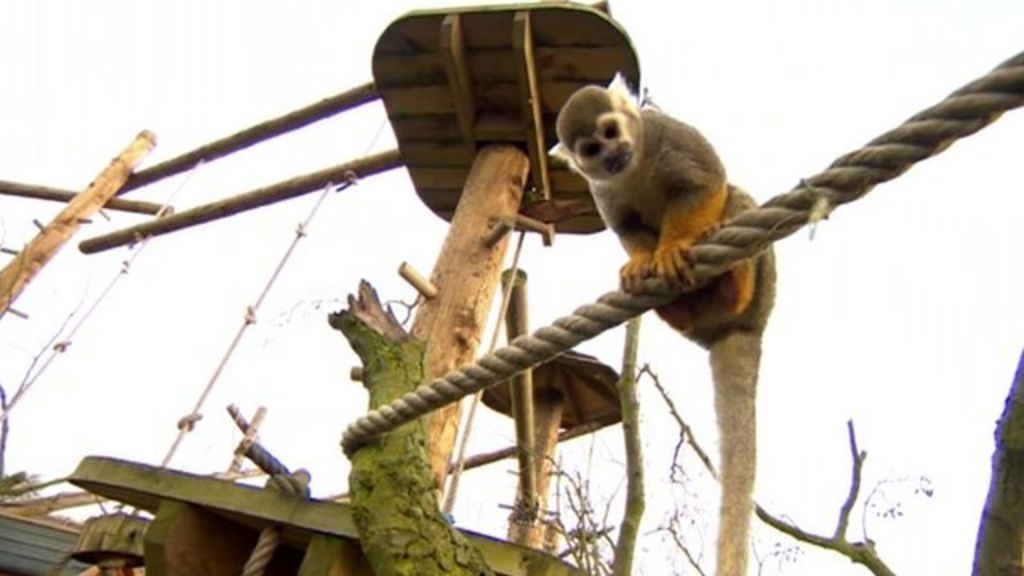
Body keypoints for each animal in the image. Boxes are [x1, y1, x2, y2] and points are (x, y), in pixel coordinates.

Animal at [552, 73, 774, 569]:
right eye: (591, 149)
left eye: (611, 131)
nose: (612, 155)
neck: (634, 165)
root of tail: (740, 330)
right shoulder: (601, 190)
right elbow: (627, 227)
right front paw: (641, 261)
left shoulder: (665, 133)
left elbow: (705, 186)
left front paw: (673, 246)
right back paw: (677, 305)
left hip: (762, 292)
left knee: (736, 195)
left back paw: (732, 281)